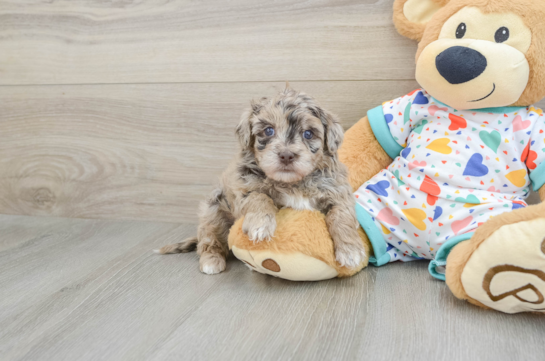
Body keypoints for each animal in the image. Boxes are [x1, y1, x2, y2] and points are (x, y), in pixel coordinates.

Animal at [157, 86, 366, 274]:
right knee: (209, 240)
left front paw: (351, 250)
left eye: (308, 133)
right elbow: (259, 197)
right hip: (212, 212)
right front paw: (260, 224)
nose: (286, 155)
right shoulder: (244, 188)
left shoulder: (338, 193)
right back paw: (211, 261)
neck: (292, 183)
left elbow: (342, 217)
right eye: (268, 131)